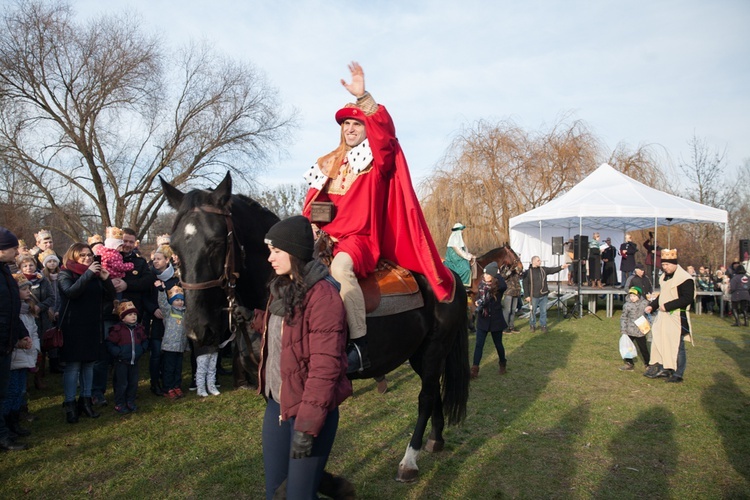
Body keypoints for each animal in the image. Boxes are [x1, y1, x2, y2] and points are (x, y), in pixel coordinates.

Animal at [162, 173, 470, 484]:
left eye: (215, 242)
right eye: (174, 248)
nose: (198, 332)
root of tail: (446, 275)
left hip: (433, 351)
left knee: (425, 397)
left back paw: (409, 460)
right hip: (420, 354)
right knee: (433, 392)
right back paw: (435, 439)